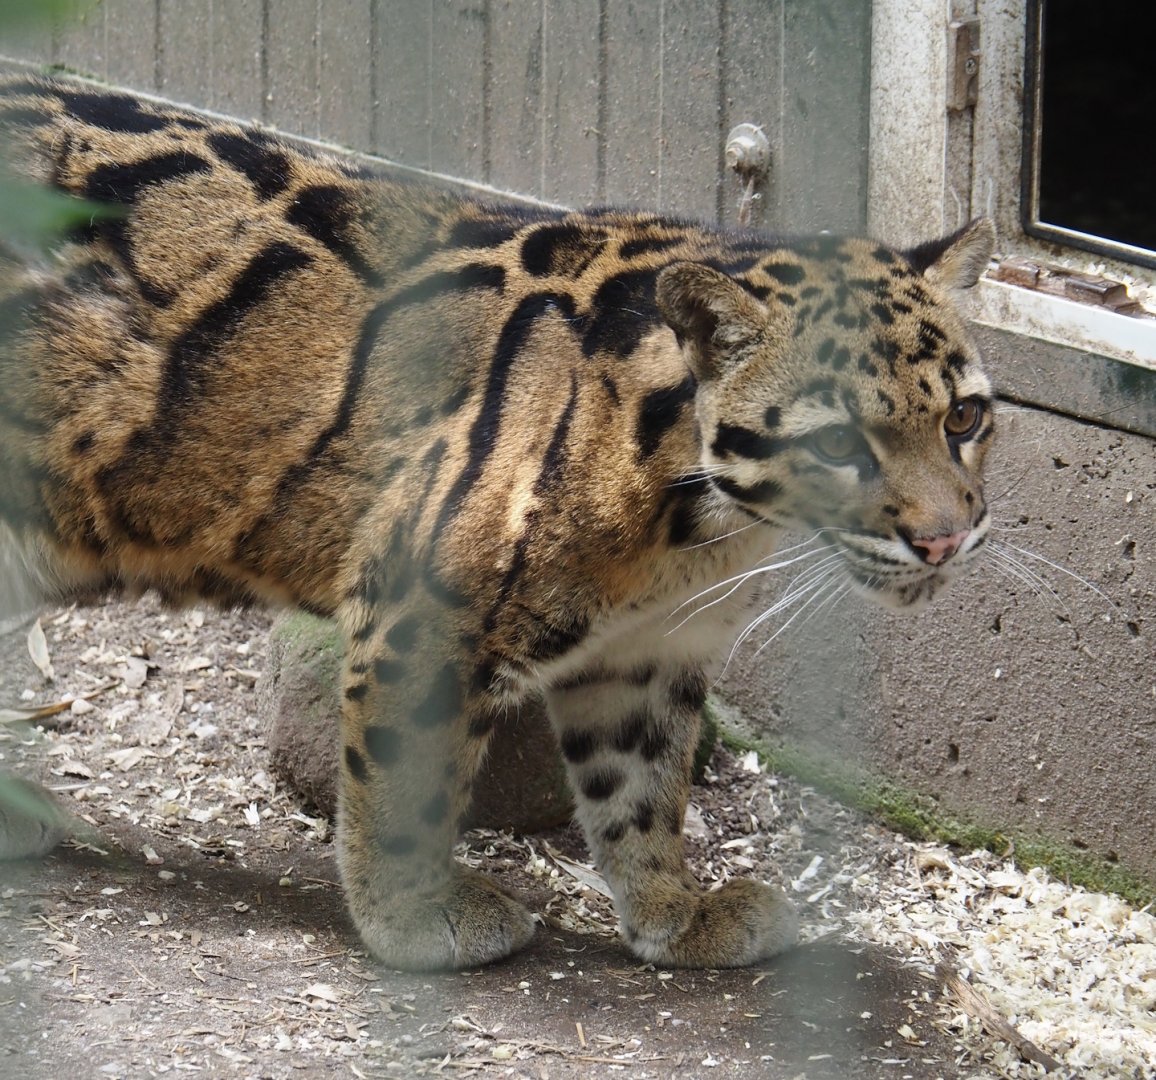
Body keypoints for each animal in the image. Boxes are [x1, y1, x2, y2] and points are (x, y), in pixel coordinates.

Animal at [0, 76, 996, 971]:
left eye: (965, 418)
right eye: (839, 443)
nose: (947, 536)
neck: (696, 522)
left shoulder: (646, 652)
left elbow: (641, 784)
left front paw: (674, 911)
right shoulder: (425, 610)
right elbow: (405, 783)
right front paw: (411, 918)